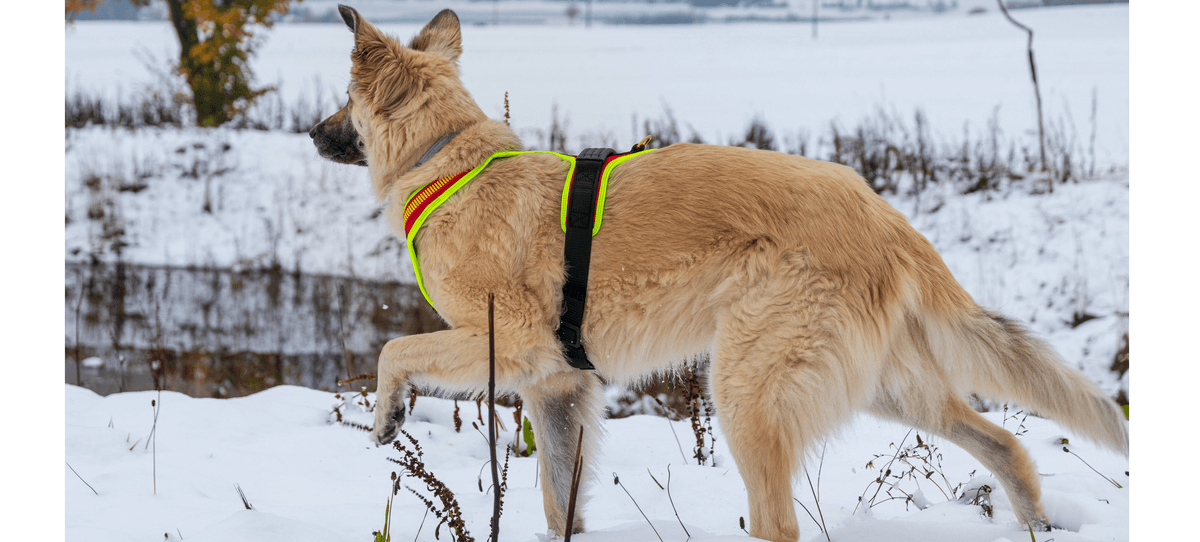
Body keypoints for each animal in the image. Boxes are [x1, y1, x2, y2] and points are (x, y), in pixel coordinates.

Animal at [307, 6, 1123, 539]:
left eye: (343, 100)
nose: (311, 133)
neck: (450, 160)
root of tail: (881, 215)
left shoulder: (502, 344)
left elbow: (395, 349)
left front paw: (386, 416)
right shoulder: (559, 388)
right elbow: (559, 498)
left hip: (748, 393)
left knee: (778, 524)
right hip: (885, 385)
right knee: (1002, 442)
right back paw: (1038, 524)